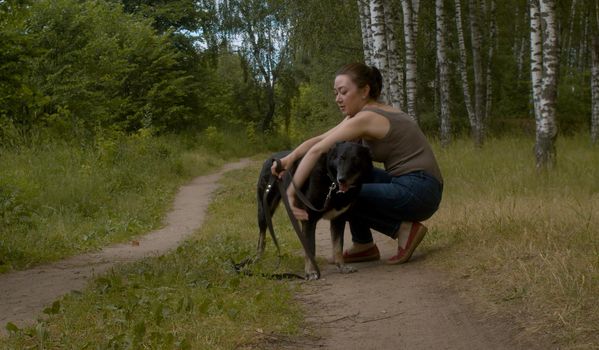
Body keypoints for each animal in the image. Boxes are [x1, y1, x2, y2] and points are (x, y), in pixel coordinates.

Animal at [255, 141, 372, 280]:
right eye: (340, 158)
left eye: (356, 160)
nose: (341, 179)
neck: (331, 183)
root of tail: (272, 158)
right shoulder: (309, 219)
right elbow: (311, 248)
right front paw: (311, 271)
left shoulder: (338, 219)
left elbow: (338, 246)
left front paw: (342, 267)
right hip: (264, 210)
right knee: (261, 236)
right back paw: (257, 259)